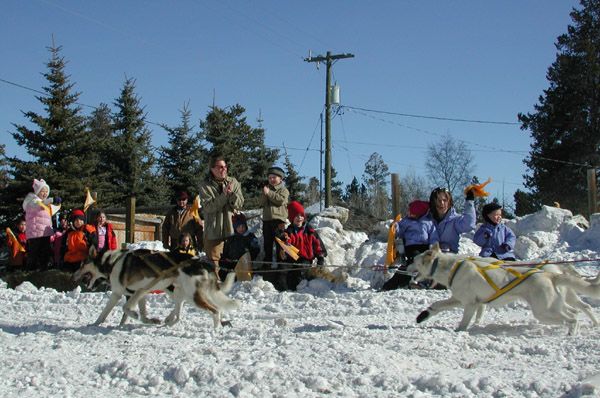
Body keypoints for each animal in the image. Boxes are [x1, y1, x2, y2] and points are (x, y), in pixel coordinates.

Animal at [72, 247, 237, 328]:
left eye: (82, 264)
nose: (73, 275)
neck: (113, 262)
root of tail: (201, 262)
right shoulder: (140, 293)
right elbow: (113, 314)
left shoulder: (122, 293)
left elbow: (120, 309)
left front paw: (134, 316)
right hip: (179, 292)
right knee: (179, 313)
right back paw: (168, 321)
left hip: (190, 295)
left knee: (215, 310)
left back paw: (216, 330)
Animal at [410, 244, 600, 334]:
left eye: (413, 260)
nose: (405, 265)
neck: (451, 267)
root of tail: (550, 274)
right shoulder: (461, 299)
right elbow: (437, 305)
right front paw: (424, 315)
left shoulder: (470, 304)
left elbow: (465, 321)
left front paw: (459, 331)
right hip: (556, 305)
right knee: (578, 311)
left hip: (544, 311)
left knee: (573, 317)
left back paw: (572, 333)